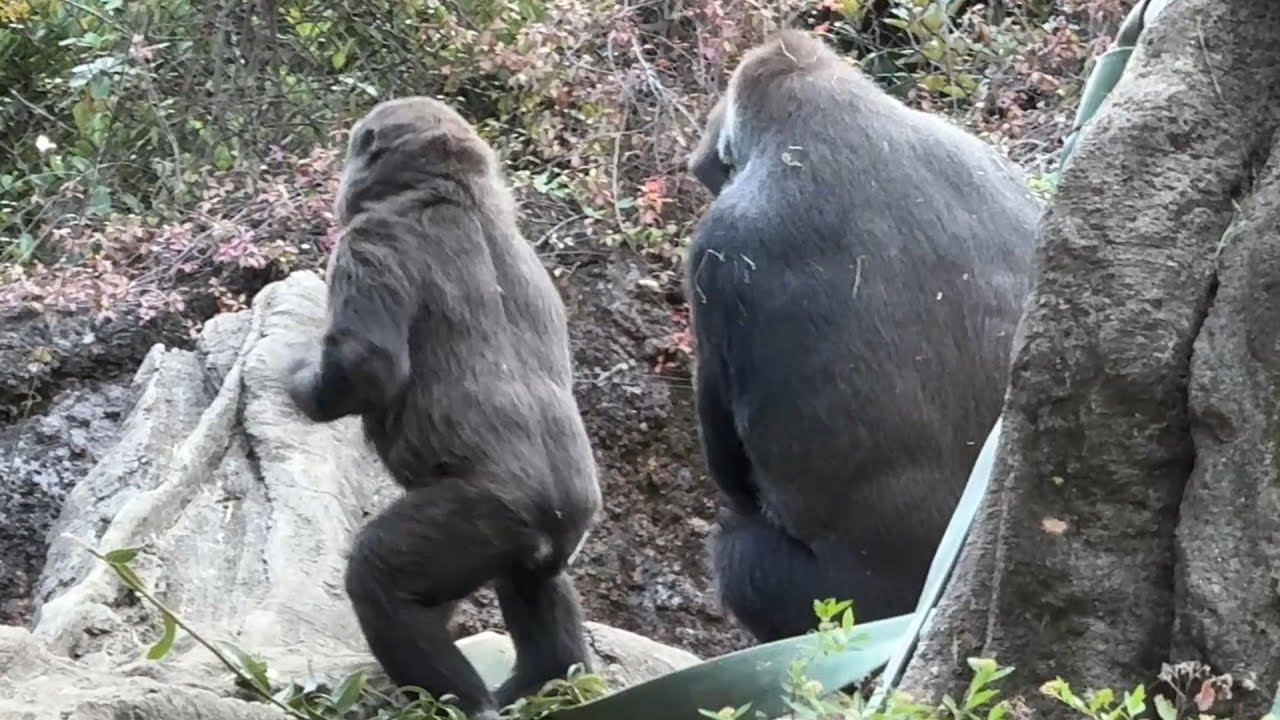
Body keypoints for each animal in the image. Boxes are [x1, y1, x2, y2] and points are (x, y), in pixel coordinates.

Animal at [282, 96, 603, 719]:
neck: (452, 188)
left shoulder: (366, 241)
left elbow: (364, 364)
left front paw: (299, 381)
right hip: (557, 530)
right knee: (535, 584)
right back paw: (547, 683)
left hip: (488, 517)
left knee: (379, 580)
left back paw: (461, 701)